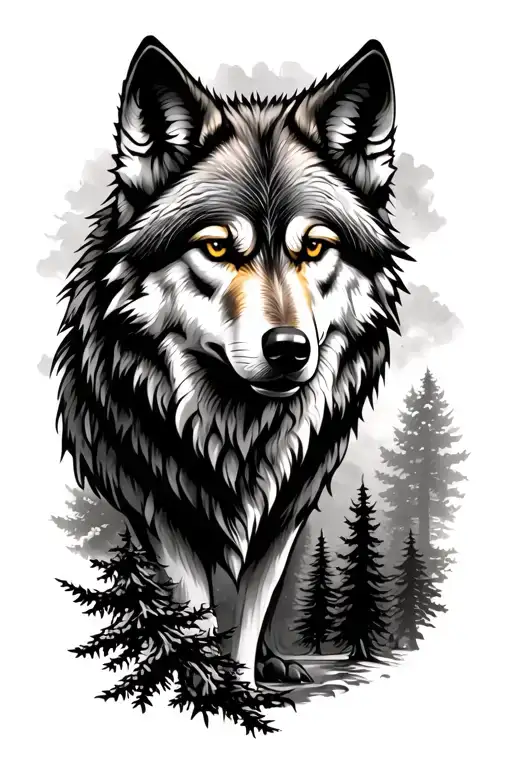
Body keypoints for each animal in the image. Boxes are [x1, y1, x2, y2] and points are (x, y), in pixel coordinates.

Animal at [53, 35, 408, 686]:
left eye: (313, 247)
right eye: (218, 246)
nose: (290, 349)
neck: (237, 431)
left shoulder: (285, 509)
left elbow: (250, 611)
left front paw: (241, 680)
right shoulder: (158, 505)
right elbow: (194, 604)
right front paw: (203, 685)